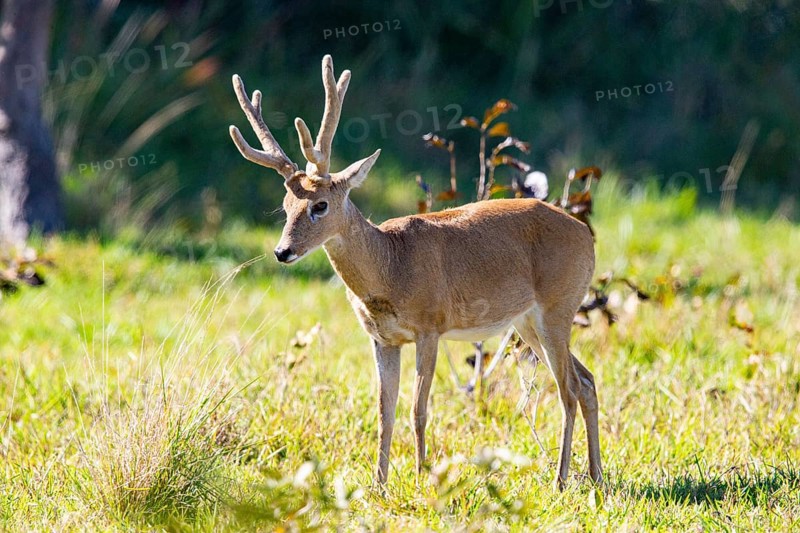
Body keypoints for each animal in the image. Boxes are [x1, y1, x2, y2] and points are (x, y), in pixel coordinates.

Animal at [229, 55, 601, 490]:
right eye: (286, 205)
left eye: (320, 205)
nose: (282, 251)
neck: (391, 266)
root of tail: (587, 235)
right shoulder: (383, 339)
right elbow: (383, 413)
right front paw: (379, 484)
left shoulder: (430, 326)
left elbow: (418, 410)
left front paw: (424, 477)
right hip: (526, 321)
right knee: (587, 381)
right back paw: (596, 475)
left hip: (558, 306)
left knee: (569, 389)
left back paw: (561, 479)